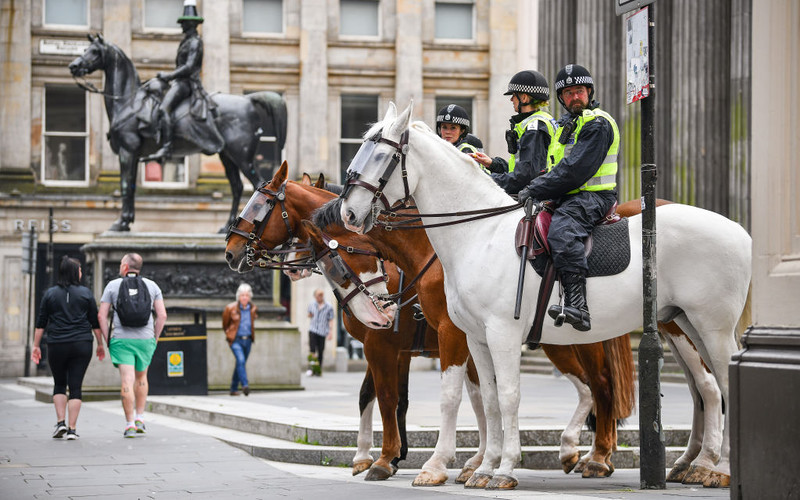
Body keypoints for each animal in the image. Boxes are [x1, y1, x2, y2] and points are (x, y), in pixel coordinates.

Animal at [227, 161, 636, 480]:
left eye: (259, 204)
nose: (230, 252)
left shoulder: (398, 342)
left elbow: (392, 396)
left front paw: (389, 458)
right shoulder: (400, 344)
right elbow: (384, 396)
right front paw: (379, 456)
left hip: (568, 342)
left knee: (598, 387)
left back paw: (593, 455)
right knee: (592, 389)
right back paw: (586, 453)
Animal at [338, 100, 752, 488]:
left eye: (382, 154)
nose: (349, 213)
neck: (479, 234)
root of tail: (739, 230)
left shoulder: (498, 334)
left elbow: (505, 396)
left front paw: (502, 468)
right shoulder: (474, 338)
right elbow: (488, 400)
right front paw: (483, 469)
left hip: (711, 328)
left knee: (721, 383)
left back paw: (716, 468)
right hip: (684, 323)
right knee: (708, 387)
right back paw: (695, 464)